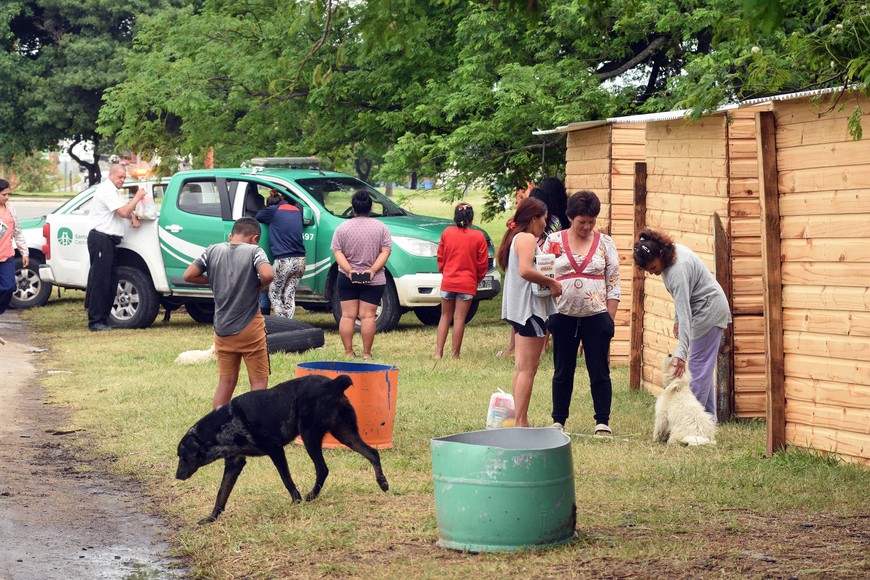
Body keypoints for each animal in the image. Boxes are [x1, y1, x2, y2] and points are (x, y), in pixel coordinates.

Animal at [179, 374, 390, 524]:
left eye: (182, 456)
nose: (177, 476)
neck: (225, 423)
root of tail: (333, 383)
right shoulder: (235, 463)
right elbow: (221, 494)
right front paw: (211, 518)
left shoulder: (275, 449)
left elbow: (286, 480)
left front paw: (296, 501)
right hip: (344, 433)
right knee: (372, 453)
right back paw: (382, 482)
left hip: (309, 436)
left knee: (323, 469)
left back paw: (311, 495)